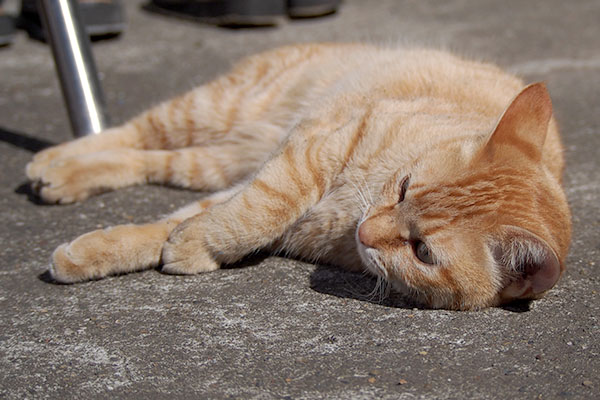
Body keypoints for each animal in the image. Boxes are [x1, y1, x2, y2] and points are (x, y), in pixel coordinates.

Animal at [27, 44, 572, 312]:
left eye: (422, 252)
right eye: (403, 188)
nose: (367, 231)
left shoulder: (268, 192)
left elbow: (182, 223)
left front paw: (122, 251)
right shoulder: (316, 149)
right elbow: (259, 208)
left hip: (216, 161)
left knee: (148, 160)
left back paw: (63, 175)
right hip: (212, 109)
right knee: (132, 130)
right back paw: (53, 160)